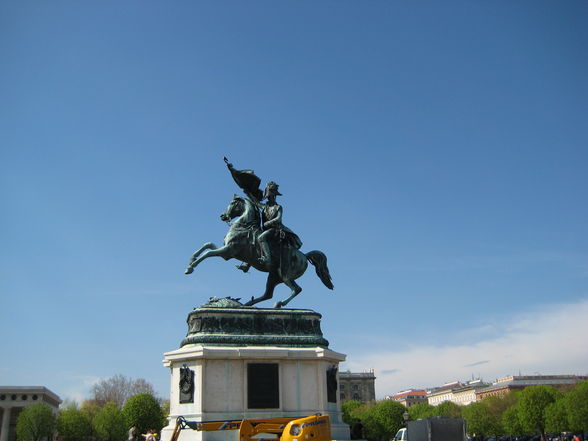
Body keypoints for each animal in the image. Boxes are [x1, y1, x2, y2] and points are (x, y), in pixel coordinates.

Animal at [185, 194, 330, 308]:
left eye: (232, 203)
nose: (222, 216)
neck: (243, 226)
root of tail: (304, 256)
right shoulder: (225, 250)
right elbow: (207, 245)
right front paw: (191, 260)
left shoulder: (227, 251)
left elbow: (208, 253)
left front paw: (191, 267)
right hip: (273, 276)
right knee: (268, 294)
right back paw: (248, 304)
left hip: (285, 274)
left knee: (296, 289)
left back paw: (278, 304)